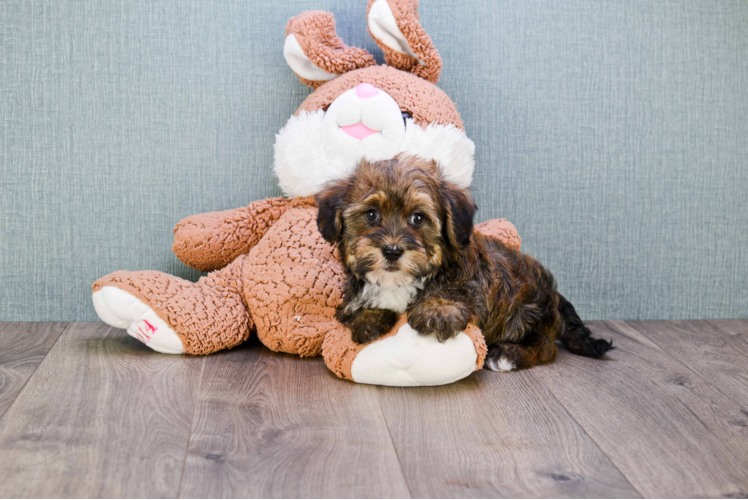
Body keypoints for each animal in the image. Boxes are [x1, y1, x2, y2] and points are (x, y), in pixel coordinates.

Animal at [312, 156, 612, 372]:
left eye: (418, 218)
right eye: (371, 214)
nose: (392, 250)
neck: (400, 282)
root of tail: (555, 293)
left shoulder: (470, 284)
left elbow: (456, 293)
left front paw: (438, 310)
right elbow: (354, 311)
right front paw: (369, 318)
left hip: (530, 310)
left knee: (547, 347)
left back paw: (508, 355)